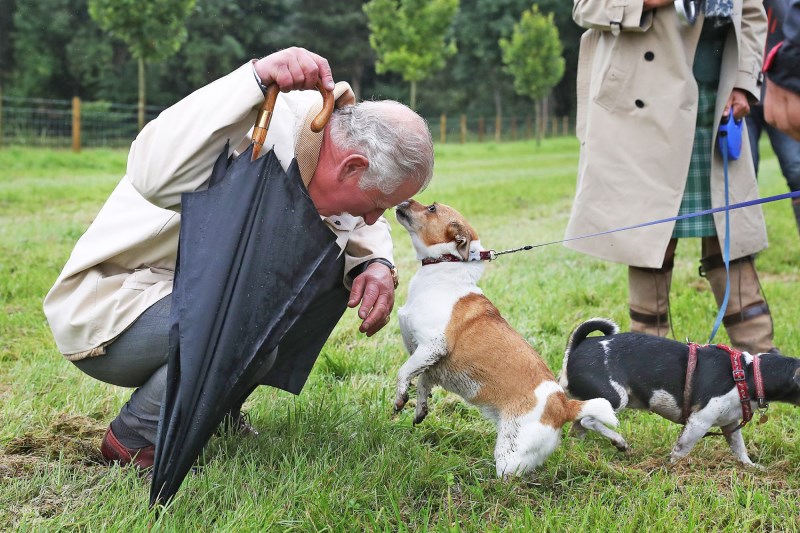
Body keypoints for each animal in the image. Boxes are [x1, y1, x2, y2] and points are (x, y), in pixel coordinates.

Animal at [556, 318, 800, 464]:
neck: (748, 374)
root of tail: (577, 347)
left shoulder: (730, 425)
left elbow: (740, 449)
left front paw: (750, 467)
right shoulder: (699, 422)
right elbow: (681, 450)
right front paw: (673, 469)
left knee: (578, 426)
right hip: (615, 399)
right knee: (588, 420)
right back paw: (619, 441)